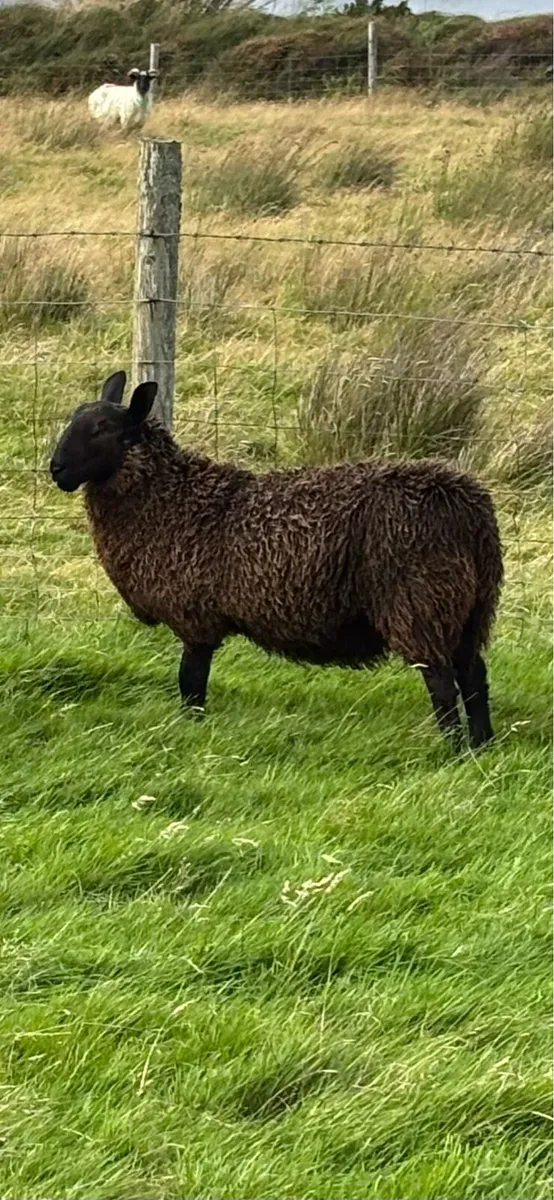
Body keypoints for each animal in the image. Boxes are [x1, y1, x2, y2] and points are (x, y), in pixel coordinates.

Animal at [50, 370, 504, 750]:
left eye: (103, 428)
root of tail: (468, 507)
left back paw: (453, 750)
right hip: (468, 607)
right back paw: (482, 745)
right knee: (473, 675)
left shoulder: (196, 618)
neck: (172, 499)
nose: (56, 469)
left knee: (442, 681)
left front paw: (191, 728)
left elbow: (190, 683)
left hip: (419, 602)